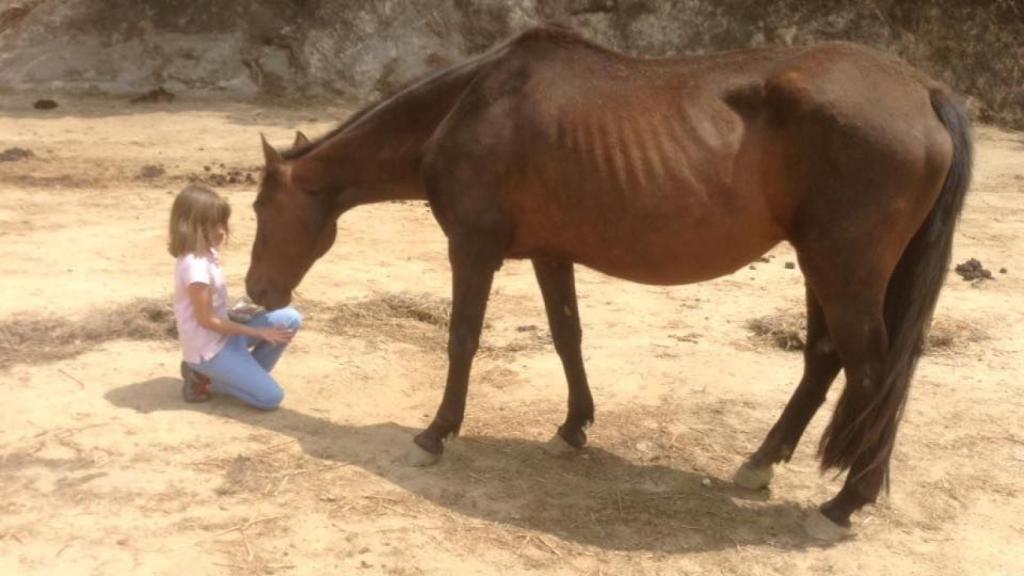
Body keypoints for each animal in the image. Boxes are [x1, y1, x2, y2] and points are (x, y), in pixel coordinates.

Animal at [243, 25, 970, 537]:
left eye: (258, 209)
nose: (257, 292)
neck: (471, 107)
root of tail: (923, 90)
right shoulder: (549, 254)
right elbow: (567, 336)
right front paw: (573, 427)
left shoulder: (472, 250)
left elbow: (461, 341)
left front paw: (436, 433)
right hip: (824, 267)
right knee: (823, 360)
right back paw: (761, 465)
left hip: (842, 269)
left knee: (870, 374)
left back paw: (845, 502)